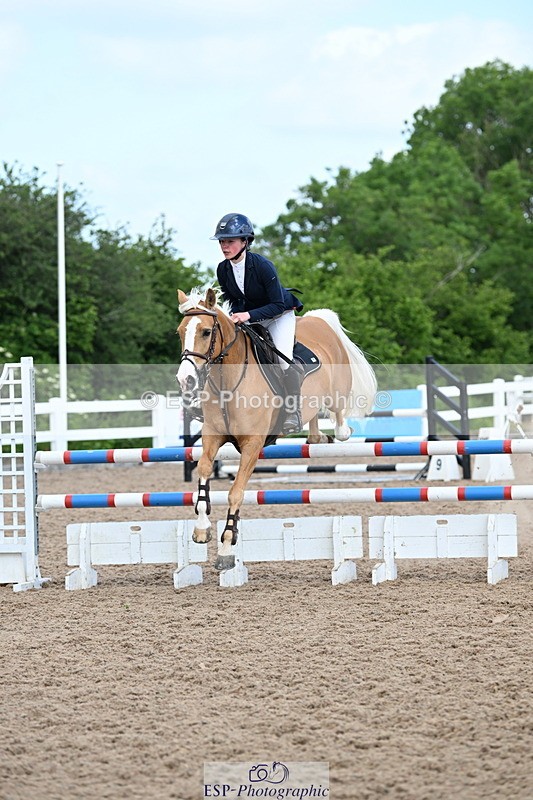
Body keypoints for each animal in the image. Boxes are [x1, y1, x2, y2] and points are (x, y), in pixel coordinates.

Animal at [176, 286, 377, 572]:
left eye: (205, 331)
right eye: (180, 332)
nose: (186, 380)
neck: (229, 380)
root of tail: (318, 320)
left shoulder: (253, 444)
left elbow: (235, 492)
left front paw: (226, 549)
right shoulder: (212, 435)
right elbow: (203, 470)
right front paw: (202, 529)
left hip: (337, 391)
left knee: (338, 416)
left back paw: (340, 432)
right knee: (312, 418)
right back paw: (317, 437)